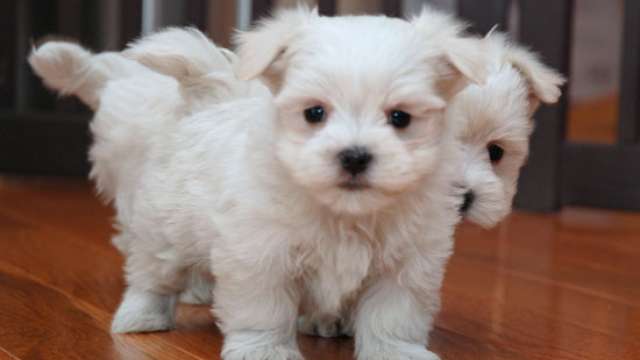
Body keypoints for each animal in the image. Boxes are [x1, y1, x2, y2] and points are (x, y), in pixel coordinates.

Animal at [30, 7, 500, 360]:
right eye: (314, 113)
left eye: (400, 118)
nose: (354, 155)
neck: (343, 212)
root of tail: (205, 102)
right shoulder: (260, 255)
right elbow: (264, 309)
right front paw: (264, 350)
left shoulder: (406, 264)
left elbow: (393, 314)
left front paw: (395, 352)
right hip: (164, 227)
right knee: (152, 274)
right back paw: (141, 317)